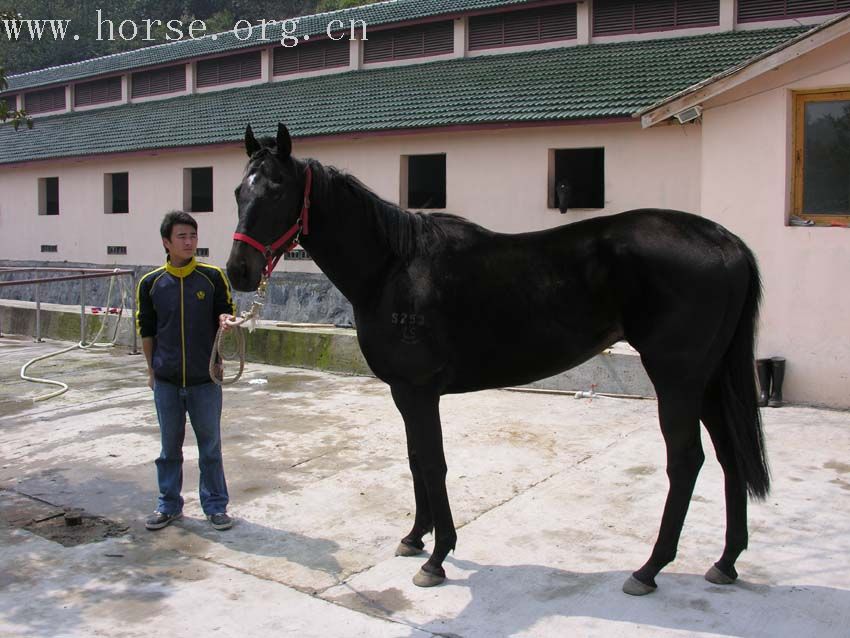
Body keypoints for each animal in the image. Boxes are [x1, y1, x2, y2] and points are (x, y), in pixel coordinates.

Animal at [225, 125, 768, 600]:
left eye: (277, 192)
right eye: (236, 192)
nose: (239, 271)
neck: (393, 268)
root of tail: (725, 241)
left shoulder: (419, 391)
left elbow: (434, 463)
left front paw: (437, 557)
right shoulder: (404, 392)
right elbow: (416, 459)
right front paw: (415, 537)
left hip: (677, 379)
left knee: (687, 461)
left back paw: (649, 569)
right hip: (708, 380)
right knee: (729, 456)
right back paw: (725, 562)